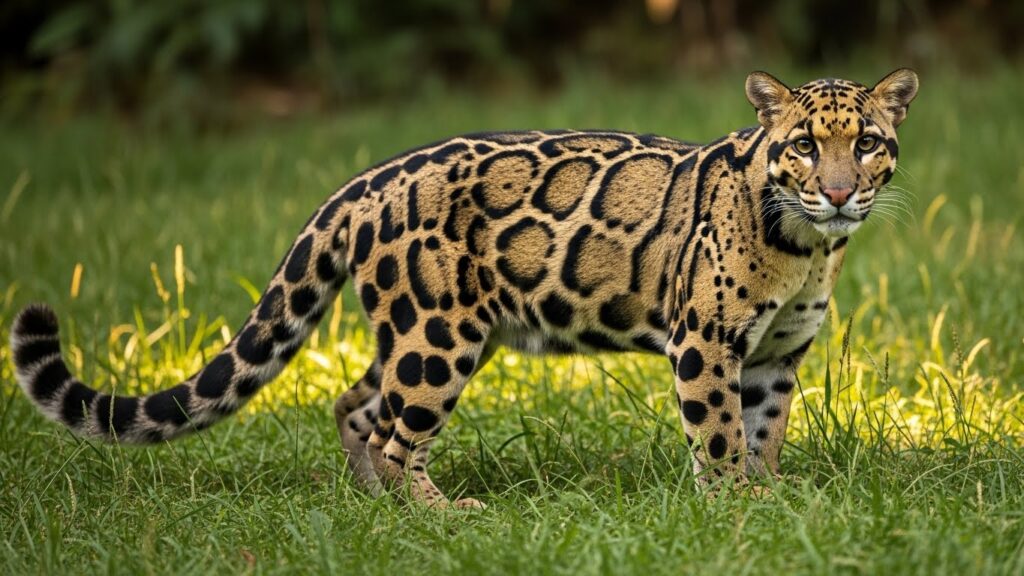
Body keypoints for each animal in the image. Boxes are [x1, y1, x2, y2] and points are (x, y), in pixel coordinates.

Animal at [10, 70, 918, 508]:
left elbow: (765, 432)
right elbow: (722, 435)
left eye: (868, 143)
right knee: (392, 431)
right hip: (438, 337)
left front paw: (772, 497)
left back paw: (375, 506)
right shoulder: (705, 344)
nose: (840, 192)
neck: (807, 246)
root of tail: (366, 181)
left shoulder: (776, 353)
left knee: (355, 405)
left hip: (424, 333)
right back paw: (439, 515)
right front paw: (732, 509)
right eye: (804, 146)